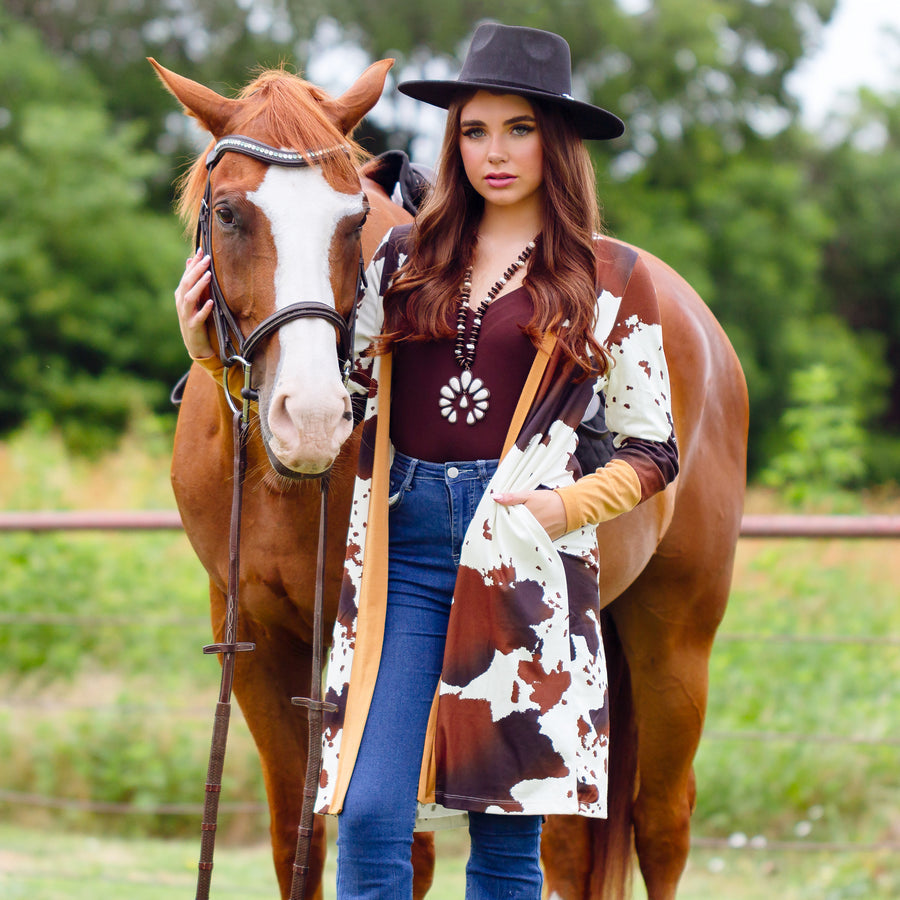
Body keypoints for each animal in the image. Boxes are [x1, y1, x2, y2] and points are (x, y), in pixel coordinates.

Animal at [153, 58, 744, 900]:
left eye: (350, 222)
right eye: (230, 212)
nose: (312, 417)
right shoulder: (260, 644)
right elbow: (295, 841)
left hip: (675, 641)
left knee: (663, 827)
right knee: (568, 843)